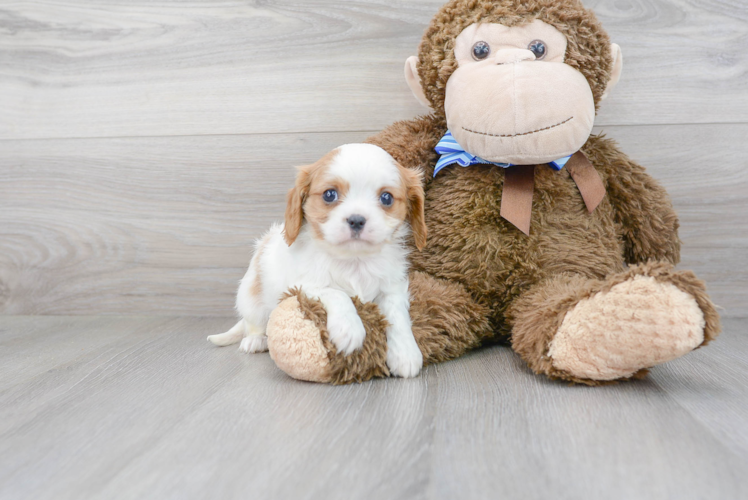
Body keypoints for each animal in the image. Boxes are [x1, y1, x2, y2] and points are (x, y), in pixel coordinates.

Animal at [207, 143, 426, 376]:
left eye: (386, 198)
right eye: (329, 195)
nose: (356, 220)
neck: (353, 259)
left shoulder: (392, 286)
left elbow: (397, 314)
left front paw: (406, 353)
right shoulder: (301, 285)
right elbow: (337, 293)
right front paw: (349, 329)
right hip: (250, 298)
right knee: (253, 323)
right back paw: (256, 340)